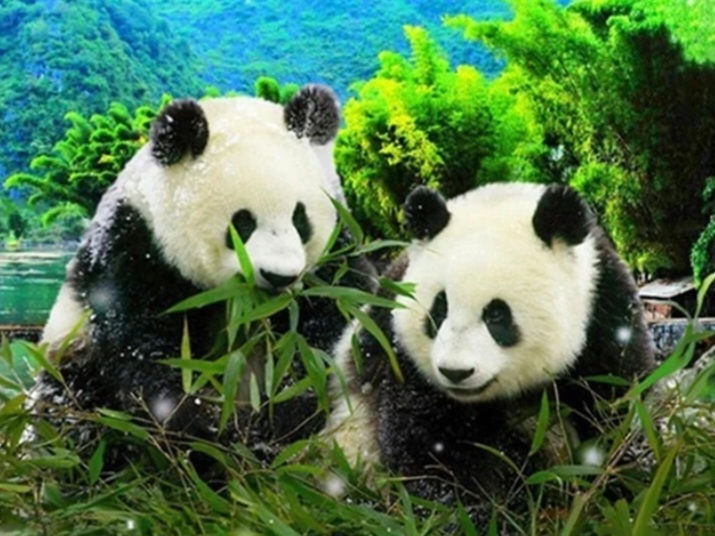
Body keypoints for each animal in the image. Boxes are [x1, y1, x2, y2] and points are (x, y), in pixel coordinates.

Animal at [32, 85, 374, 456]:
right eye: (242, 223)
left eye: (300, 219)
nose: (279, 276)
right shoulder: (134, 251)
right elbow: (143, 349)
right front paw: (205, 426)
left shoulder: (334, 260)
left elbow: (330, 334)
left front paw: (276, 419)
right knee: (70, 412)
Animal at [323, 182, 654, 512]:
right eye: (439, 309)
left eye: (496, 314)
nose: (455, 372)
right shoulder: (399, 356)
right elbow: (430, 444)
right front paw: (468, 509)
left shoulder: (604, 318)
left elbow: (612, 410)